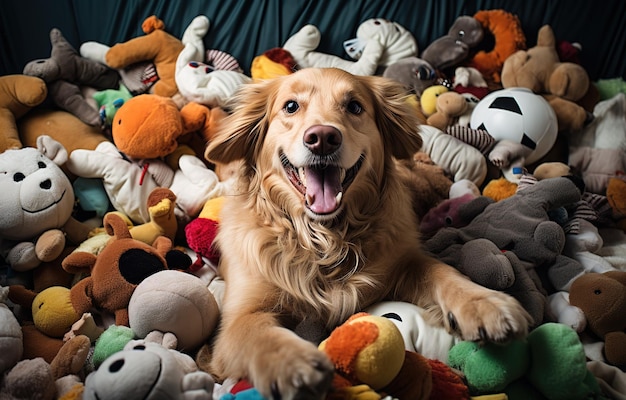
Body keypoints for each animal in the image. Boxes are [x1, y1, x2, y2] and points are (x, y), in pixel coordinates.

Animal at [202, 67, 528, 398]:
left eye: (355, 106)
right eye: (291, 106)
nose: (323, 138)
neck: (325, 240)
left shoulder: (406, 261)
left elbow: (442, 272)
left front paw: (485, 303)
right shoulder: (235, 324)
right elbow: (258, 333)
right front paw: (293, 364)